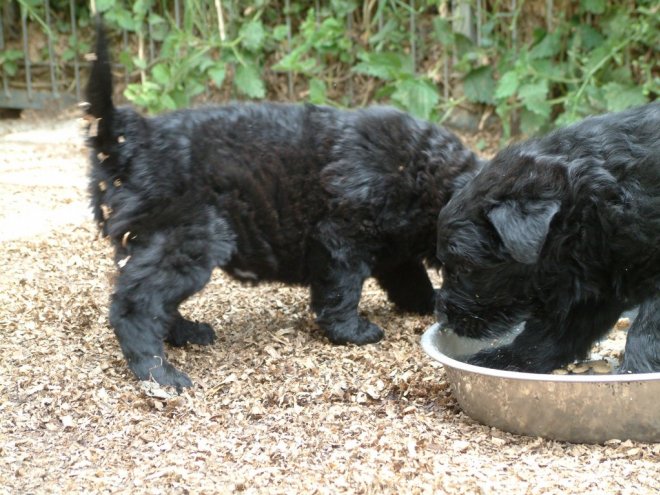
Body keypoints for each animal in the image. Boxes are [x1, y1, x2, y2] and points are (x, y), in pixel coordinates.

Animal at [86, 24, 480, 388]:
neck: (423, 174)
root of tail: (130, 138)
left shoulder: (395, 248)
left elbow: (410, 280)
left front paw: (428, 302)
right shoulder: (341, 237)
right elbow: (343, 289)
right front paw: (352, 332)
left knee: (155, 302)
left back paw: (188, 334)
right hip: (188, 237)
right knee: (136, 305)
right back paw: (159, 373)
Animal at [438, 105, 660, 376]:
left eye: (465, 268)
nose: (442, 318)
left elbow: (646, 330)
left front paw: (634, 371)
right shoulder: (588, 287)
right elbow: (550, 334)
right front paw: (504, 359)